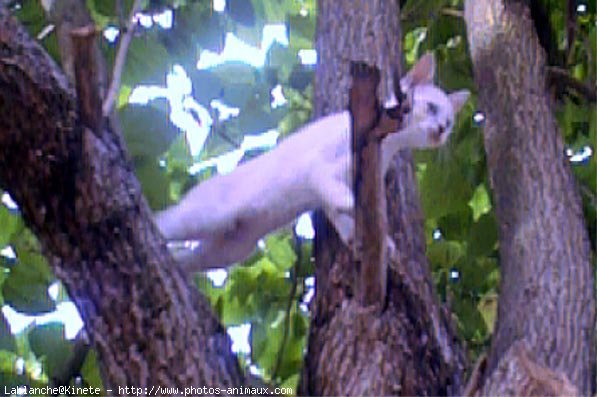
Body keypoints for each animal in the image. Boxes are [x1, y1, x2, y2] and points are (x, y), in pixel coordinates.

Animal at [154, 53, 470, 272]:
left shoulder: (334, 184)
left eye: (450, 123)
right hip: (207, 217)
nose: (441, 130)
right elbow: (345, 200)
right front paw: (363, 217)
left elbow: (339, 214)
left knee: (185, 258)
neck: (390, 145)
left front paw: (364, 239)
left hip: (229, 250)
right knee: (162, 222)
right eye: (431, 108)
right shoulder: (319, 171)